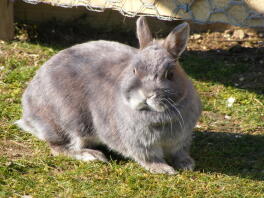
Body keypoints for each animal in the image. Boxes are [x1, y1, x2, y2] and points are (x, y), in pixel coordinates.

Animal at [16, 17, 202, 175]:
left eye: (170, 74)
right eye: (134, 70)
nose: (147, 95)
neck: (156, 113)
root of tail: (28, 111)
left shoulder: (181, 140)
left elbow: (179, 153)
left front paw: (187, 164)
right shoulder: (140, 144)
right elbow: (148, 157)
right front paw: (164, 169)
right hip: (70, 122)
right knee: (59, 147)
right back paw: (92, 155)